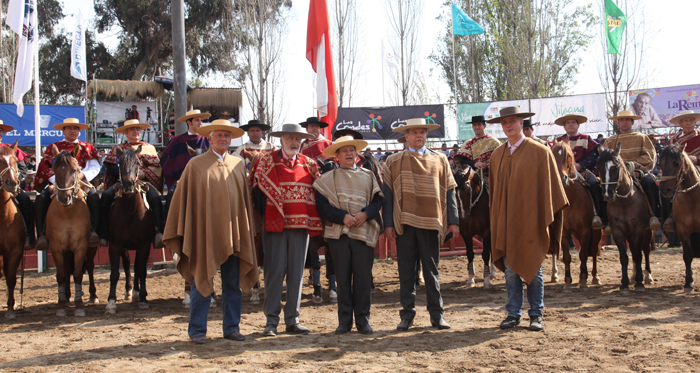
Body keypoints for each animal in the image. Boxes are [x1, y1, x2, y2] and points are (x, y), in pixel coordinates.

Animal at [46, 144, 98, 316]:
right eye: (54, 170)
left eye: (74, 170)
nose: (64, 198)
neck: (68, 213)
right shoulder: (56, 247)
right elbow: (62, 274)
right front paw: (62, 304)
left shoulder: (81, 245)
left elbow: (77, 273)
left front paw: (79, 305)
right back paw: (67, 296)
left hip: (91, 247)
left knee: (90, 267)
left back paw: (93, 295)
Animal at [104, 145, 155, 310]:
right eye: (120, 163)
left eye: (138, 163)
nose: (128, 184)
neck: (131, 212)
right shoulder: (115, 245)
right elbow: (114, 273)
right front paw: (111, 301)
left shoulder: (144, 245)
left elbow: (142, 270)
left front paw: (143, 298)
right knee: (127, 265)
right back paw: (129, 291)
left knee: (137, 266)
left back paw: (136, 293)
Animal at [552, 140, 600, 290]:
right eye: (552, 154)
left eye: (569, 155)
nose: (562, 178)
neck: (572, 200)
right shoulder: (564, 232)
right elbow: (567, 257)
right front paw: (568, 282)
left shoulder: (585, 230)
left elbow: (583, 255)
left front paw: (584, 281)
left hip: (595, 232)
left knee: (594, 251)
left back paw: (595, 277)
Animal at [596, 142, 656, 290]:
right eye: (599, 167)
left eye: (616, 167)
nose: (608, 194)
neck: (625, 202)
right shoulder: (618, 231)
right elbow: (624, 256)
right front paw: (624, 283)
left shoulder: (639, 230)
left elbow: (638, 255)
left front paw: (640, 282)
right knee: (634, 250)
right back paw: (634, 277)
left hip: (648, 231)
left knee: (645, 251)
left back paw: (648, 277)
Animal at [656, 144, 700, 292]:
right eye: (660, 164)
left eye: (676, 163)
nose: (665, 191)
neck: (692, 197)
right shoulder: (682, 230)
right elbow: (687, 256)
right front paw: (689, 282)